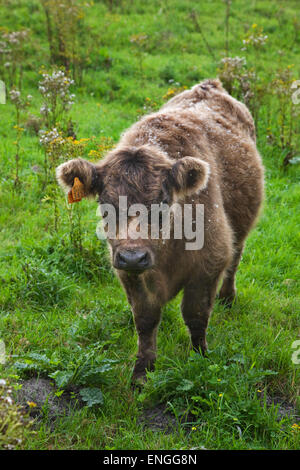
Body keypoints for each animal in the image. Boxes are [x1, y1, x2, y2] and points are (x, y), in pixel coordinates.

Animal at [57, 79, 264, 384]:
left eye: (163, 202)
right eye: (104, 203)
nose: (133, 256)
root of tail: (209, 86)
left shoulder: (210, 263)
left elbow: (196, 315)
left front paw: (200, 358)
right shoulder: (128, 273)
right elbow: (145, 320)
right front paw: (142, 372)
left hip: (238, 233)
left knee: (236, 260)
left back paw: (228, 297)